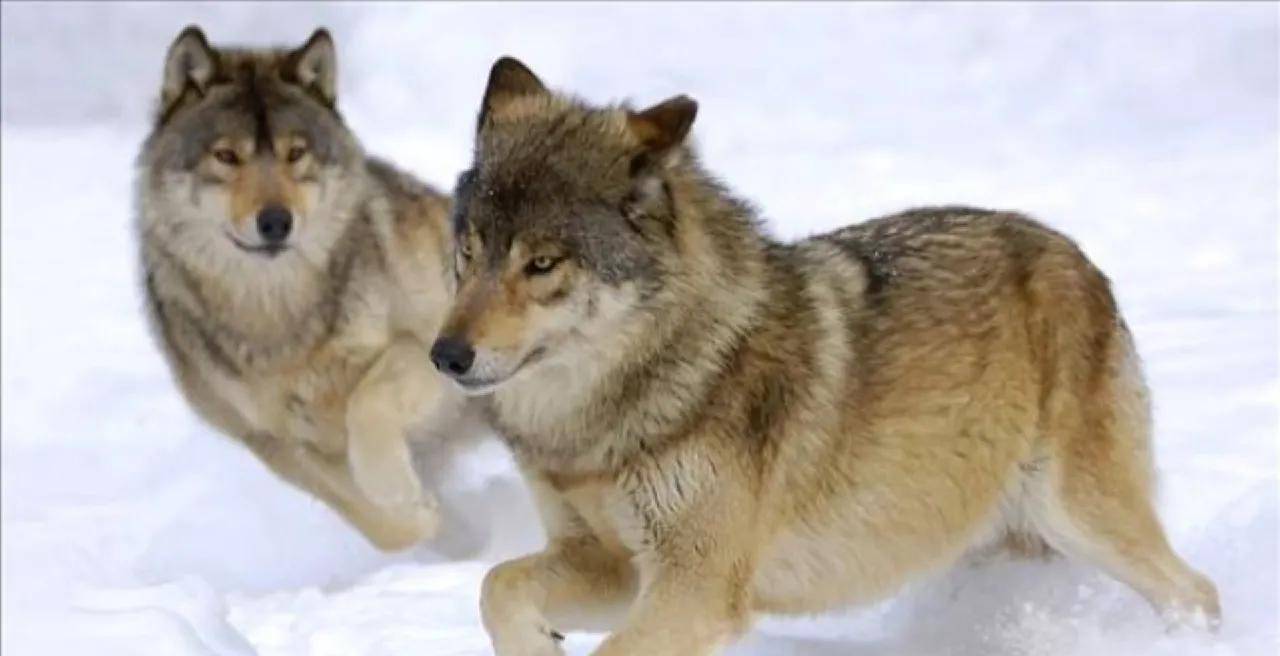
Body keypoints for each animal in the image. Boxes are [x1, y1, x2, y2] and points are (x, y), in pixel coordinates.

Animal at [137, 25, 481, 550]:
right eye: (227, 156)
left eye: (295, 153)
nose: (276, 221)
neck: (278, 318)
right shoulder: (276, 443)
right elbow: (379, 525)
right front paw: (423, 521)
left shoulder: (423, 350)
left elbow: (367, 407)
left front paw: (400, 493)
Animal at [435, 58, 1223, 653]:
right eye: (468, 252)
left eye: (541, 264)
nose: (446, 355)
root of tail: (1073, 253)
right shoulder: (615, 568)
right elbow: (496, 585)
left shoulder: (698, 590)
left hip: (1079, 516)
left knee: (1198, 591)